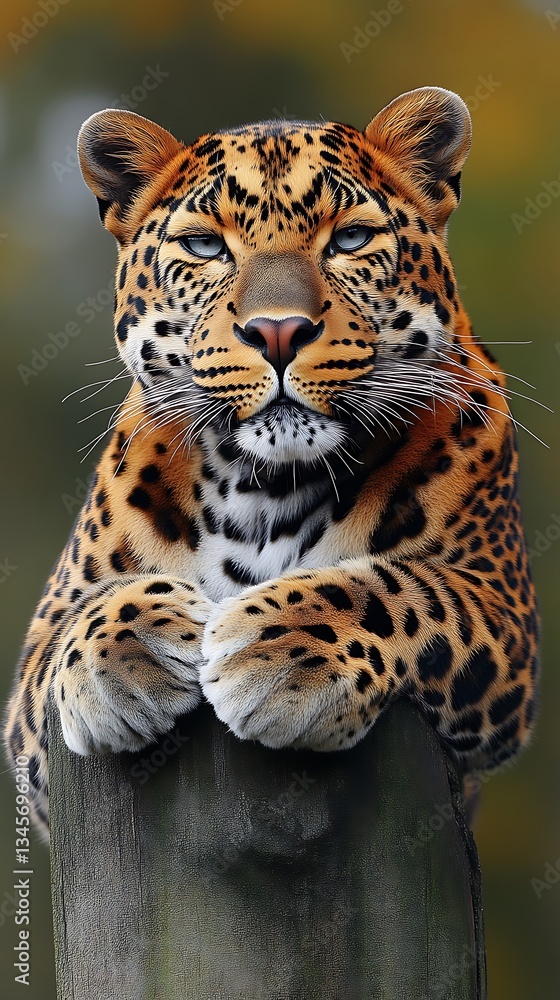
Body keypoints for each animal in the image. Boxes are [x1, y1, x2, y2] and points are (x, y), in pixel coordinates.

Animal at [4, 87, 539, 838]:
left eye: (350, 240)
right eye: (204, 246)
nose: (278, 331)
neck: (265, 487)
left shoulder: (501, 610)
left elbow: (409, 588)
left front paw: (278, 650)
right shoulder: (30, 706)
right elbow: (77, 620)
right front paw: (132, 650)